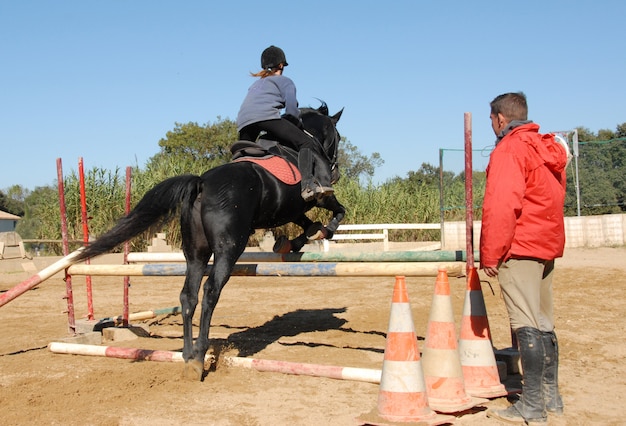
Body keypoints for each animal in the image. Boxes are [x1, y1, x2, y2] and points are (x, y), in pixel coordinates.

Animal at [75, 102, 346, 380]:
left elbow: (306, 222)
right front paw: (319, 232)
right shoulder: (316, 197)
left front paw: (296, 240)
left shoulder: (290, 209)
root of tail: (202, 183)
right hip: (229, 250)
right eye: (337, 136)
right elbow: (337, 211)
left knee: (188, 296)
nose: (334, 172)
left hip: (195, 253)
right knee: (210, 291)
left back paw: (187, 355)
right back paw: (199, 355)